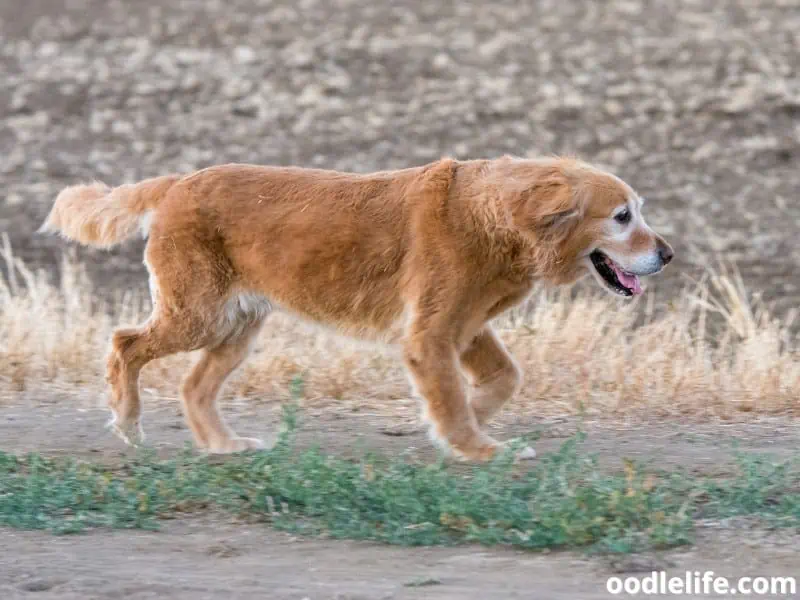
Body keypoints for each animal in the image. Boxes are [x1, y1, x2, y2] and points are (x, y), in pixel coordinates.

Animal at [40, 157, 672, 462]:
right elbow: (455, 399)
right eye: (623, 216)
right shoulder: (431, 334)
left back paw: (223, 446)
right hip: (197, 314)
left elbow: (501, 379)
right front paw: (477, 448)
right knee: (124, 344)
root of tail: (176, 182)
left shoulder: (464, 328)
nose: (668, 255)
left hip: (236, 325)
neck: (495, 217)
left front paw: (465, 428)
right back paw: (127, 421)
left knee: (194, 387)